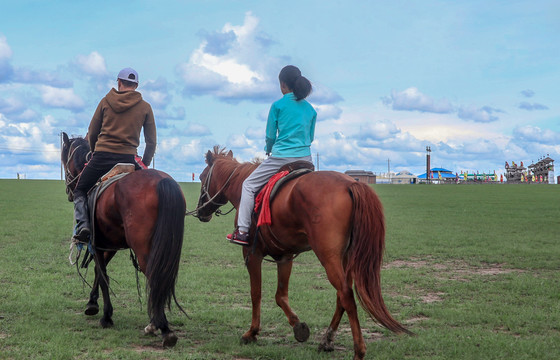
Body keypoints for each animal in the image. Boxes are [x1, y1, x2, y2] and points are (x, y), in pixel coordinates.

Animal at [62, 132, 186, 346]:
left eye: (64, 159)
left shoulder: (96, 243)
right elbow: (99, 271)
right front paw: (92, 303)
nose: (69, 191)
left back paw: (161, 326)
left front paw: (106, 316)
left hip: (143, 248)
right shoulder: (109, 244)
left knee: (154, 275)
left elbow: (103, 275)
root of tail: (161, 181)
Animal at [195, 147, 414, 360]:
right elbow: (280, 296)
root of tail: (351, 184)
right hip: (345, 257)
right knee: (341, 296)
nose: (200, 212)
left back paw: (358, 350)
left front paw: (252, 333)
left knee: (346, 294)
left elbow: (256, 293)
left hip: (328, 257)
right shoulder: (284, 257)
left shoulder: (252, 253)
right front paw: (298, 327)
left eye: (202, 176)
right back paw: (327, 340)